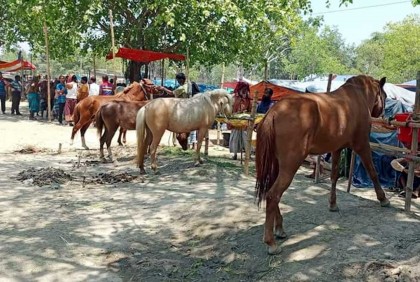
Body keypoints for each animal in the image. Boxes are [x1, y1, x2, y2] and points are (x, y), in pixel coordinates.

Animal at [254, 75, 388, 256]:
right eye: (385, 95)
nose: (382, 113)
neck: (355, 98)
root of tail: (274, 112)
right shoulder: (362, 145)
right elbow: (373, 172)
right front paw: (383, 199)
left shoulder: (337, 148)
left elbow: (334, 176)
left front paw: (333, 204)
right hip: (290, 165)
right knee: (273, 195)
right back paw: (271, 242)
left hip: (276, 164)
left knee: (271, 192)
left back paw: (280, 228)